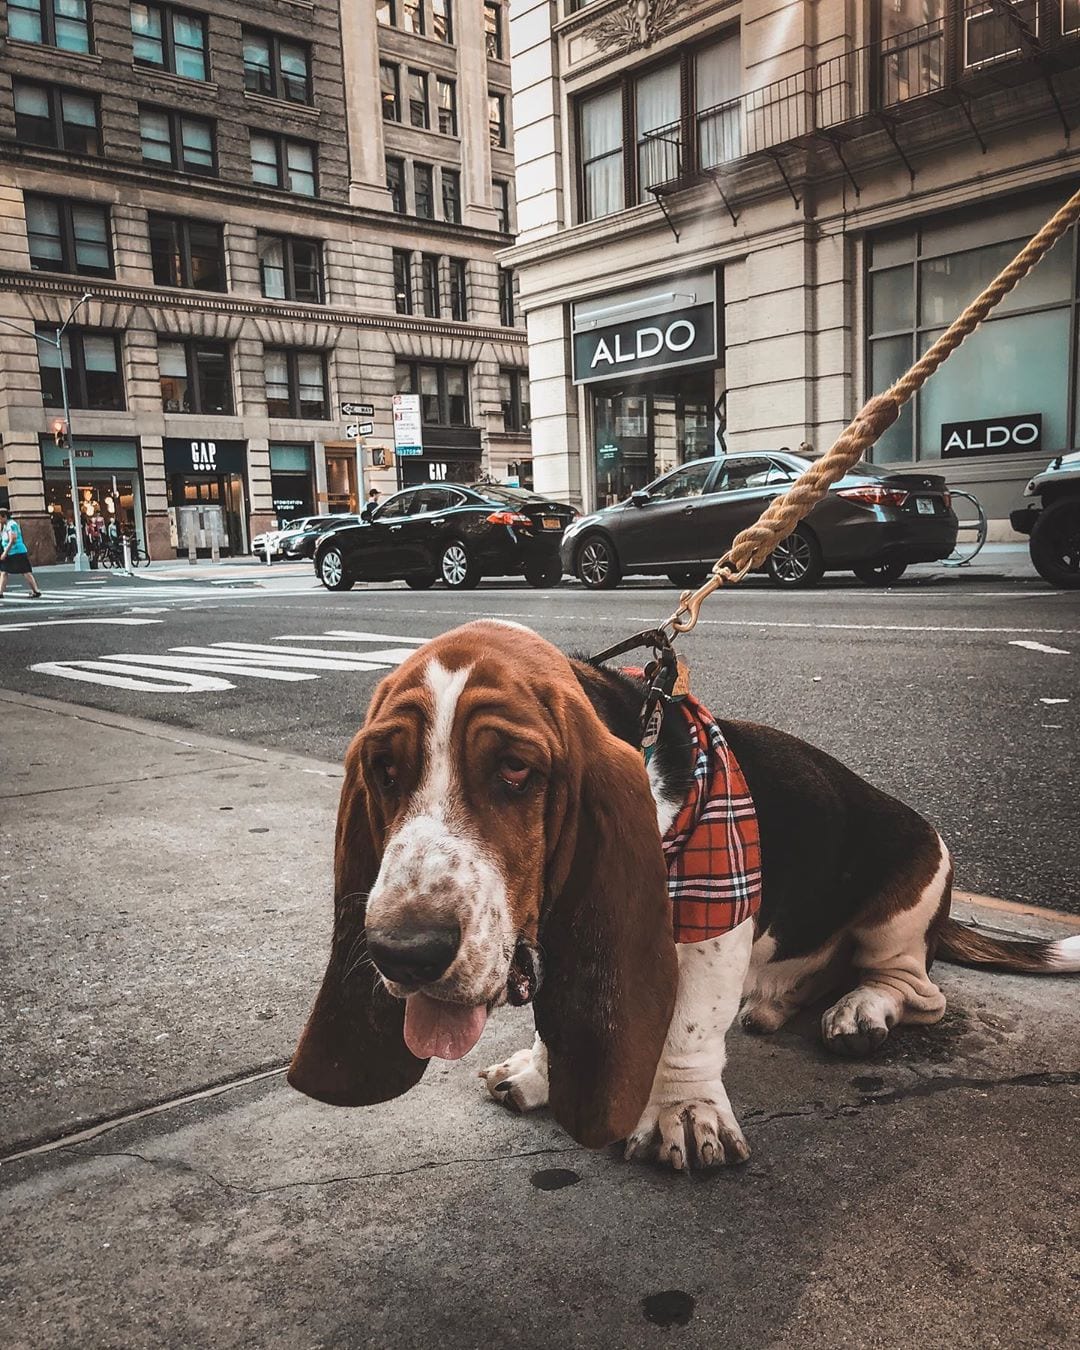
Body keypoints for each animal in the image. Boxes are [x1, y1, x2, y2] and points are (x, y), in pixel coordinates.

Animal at [288, 618, 1080, 1166]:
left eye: (516, 769)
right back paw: (784, 999)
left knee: (915, 987)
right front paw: (542, 1072)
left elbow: (692, 1029)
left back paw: (860, 1011)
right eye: (384, 770)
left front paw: (685, 1114)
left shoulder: (712, 916)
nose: (404, 952)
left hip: (904, 901)